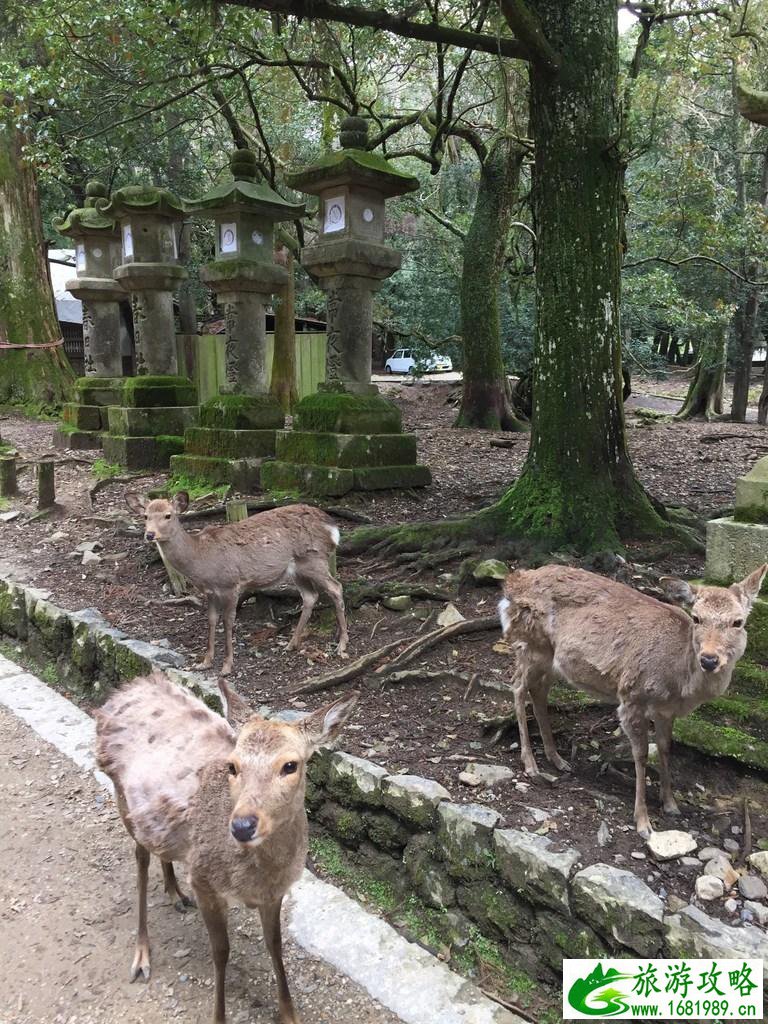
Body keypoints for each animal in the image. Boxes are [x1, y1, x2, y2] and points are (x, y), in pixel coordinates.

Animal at [96, 671, 360, 1024]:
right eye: (232, 766)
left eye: (290, 765)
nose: (242, 825)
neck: (257, 876)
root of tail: (129, 687)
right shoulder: (205, 881)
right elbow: (221, 952)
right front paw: (219, 1016)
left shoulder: (274, 893)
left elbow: (275, 944)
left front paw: (289, 1013)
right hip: (124, 800)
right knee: (140, 858)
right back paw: (142, 955)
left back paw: (175, 892)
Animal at [126, 491, 352, 675]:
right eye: (145, 516)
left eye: (168, 515)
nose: (150, 534)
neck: (201, 560)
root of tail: (332, 527)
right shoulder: (209, 591)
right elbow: (211, 620)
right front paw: (205, 662)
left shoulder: (231, 585)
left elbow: (228, 621)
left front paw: (227, 666)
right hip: (297, 568)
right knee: (310, 596)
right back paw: (291, 644)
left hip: (314, 558)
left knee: (336, 587)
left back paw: (341, 645)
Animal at [499, 565, 768, 835]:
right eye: (696, 618)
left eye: (738, 622)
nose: (709, 659)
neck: (679, 684)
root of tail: (512, 584)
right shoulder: (632, 697)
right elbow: (641, 754)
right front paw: (643, 821)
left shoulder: (666, 711)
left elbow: (665, 748)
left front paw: (670, 803)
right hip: (532, 643)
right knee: (518, 686)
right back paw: (530, 763)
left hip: (552, 659)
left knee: (539, 691)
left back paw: (556, 759)